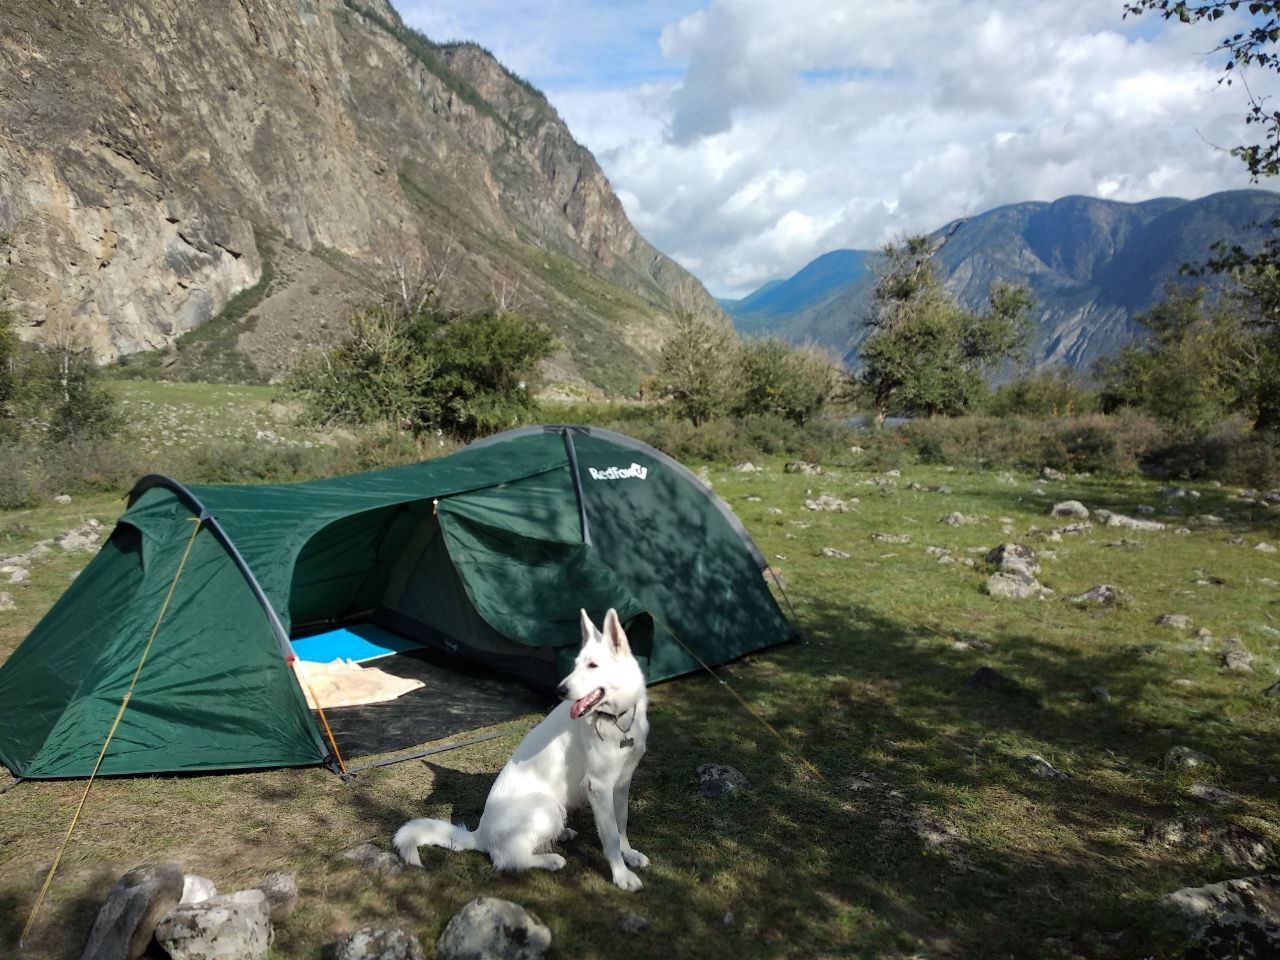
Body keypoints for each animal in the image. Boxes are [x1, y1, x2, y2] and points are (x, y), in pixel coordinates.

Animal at [391, 609, 655, 896]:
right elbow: (610, 837)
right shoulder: (599, 786)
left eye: (592, 666)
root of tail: (480, 833)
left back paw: (561, 835)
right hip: (547, 806)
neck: (618, 720)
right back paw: (549, 860)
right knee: (506, 859)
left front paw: (629, 855)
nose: (559, 690)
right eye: (575, 665)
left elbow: (621, 824)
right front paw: (621, 875)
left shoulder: (621, 782)